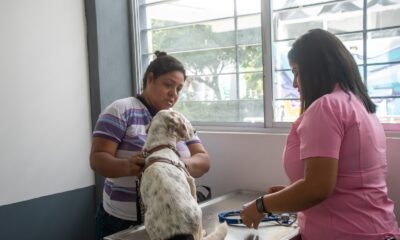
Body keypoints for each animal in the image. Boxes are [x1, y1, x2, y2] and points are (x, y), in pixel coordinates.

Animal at [139, 109, 227, 240]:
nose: (195, 130)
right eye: (185, 121)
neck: (160, 148)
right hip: (198, 213)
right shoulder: (190, 180)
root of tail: (178, 232)